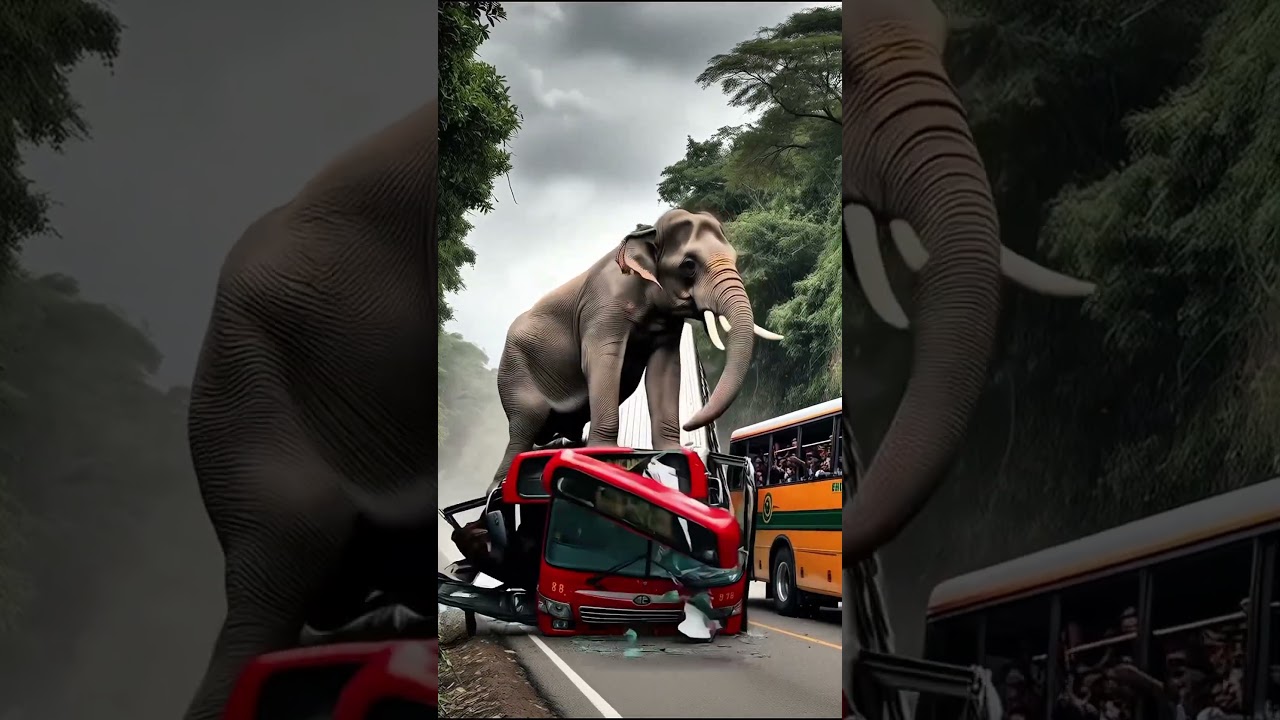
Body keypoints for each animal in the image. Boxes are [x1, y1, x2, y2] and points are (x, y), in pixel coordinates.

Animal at [488, 208, 783, 492]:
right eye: (689, 265)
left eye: (735, 258)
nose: (690, 426)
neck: (648, 235)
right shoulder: (604, 310)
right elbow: (602, 361)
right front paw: (604, 453)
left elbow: (665, 369)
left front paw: (671, 450)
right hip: (515, 374)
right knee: (525, 427)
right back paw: (500, 484)